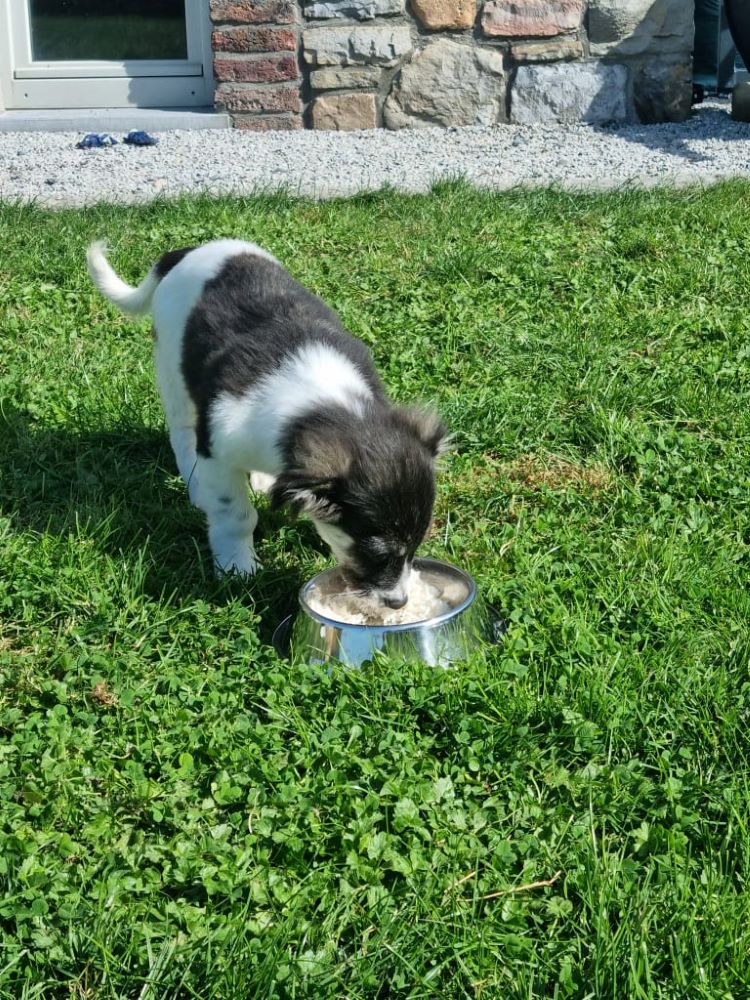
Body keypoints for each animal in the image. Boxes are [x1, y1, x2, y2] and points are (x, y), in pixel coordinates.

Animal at [91, 238, 450, 604]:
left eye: (416, 545)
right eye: (377, 553)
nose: (398, 602)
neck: (323, 402)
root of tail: (188, 251)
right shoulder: (217, 449)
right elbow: (235, 516)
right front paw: (237, 569)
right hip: (172, 373)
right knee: (182, 436)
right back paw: (196, 489)